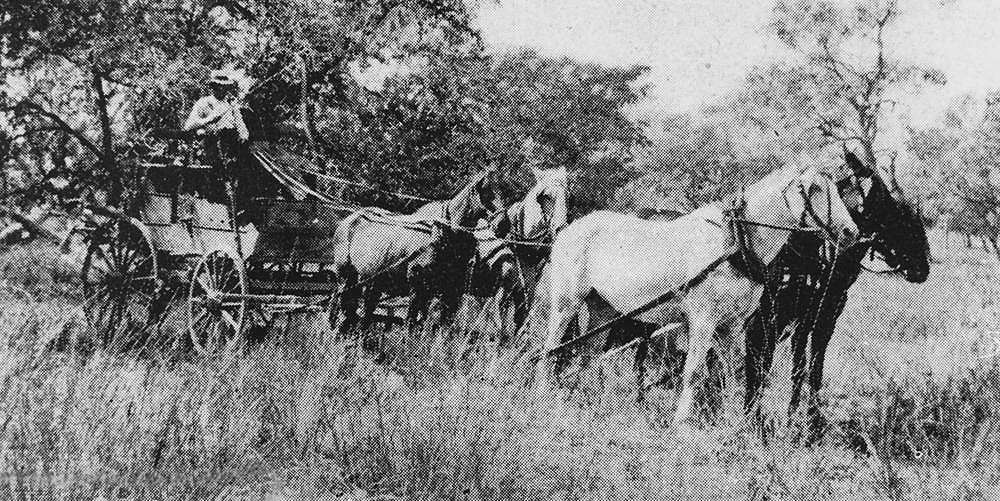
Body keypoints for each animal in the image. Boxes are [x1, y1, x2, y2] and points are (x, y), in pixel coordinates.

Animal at [540, 165, 860, 426]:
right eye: (814, 189)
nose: (851, 232)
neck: (736, 243)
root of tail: (568, 230)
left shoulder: (732, 325)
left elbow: (732, 371)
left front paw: (735, 421)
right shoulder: (703, 321)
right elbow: (694, 371)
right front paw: (682, 424)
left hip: (602, 309)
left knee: (588, 354)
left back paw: (591, 402)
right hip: (566, 305)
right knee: (551, 348)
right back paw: (542, 395)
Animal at [744, 149, 928, 438]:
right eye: (896, 216)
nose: (923, 267)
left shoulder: (817, 319)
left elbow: (808, 368)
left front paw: (806, 421)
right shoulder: (781, 318)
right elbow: (780, 365)